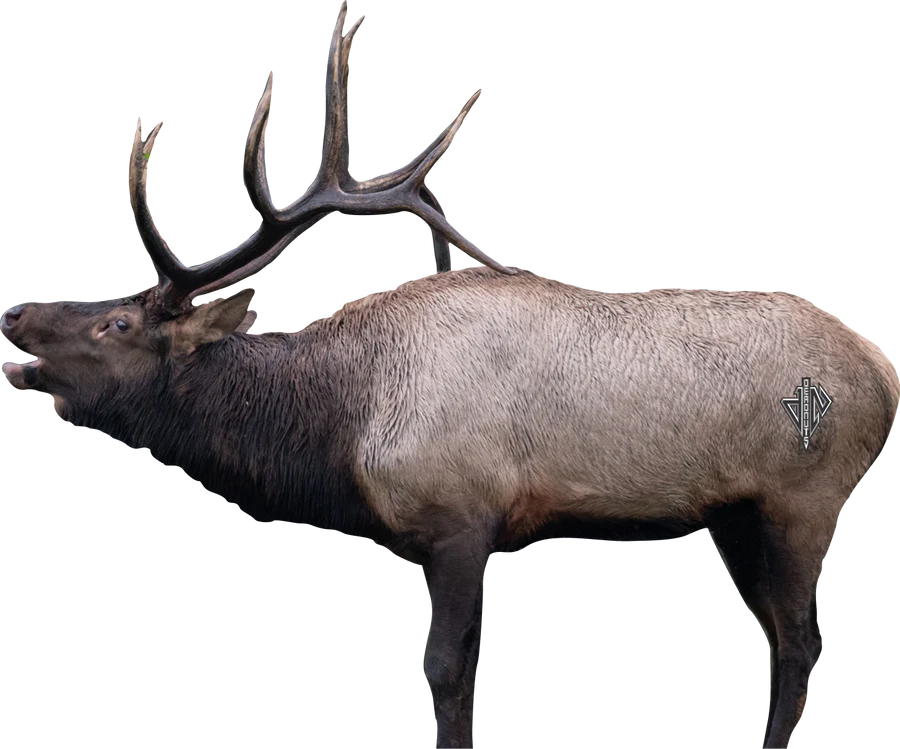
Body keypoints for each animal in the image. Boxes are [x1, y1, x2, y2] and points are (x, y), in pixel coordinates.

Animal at [2, 3, 898, 747]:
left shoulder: (461, 515)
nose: (13, 310)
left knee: (802, 647)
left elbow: (444, 678)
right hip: (737, 515)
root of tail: (883, 369)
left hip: (802, 500)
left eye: (117, 324)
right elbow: (459, 676)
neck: (345, 427)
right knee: (785, 642)